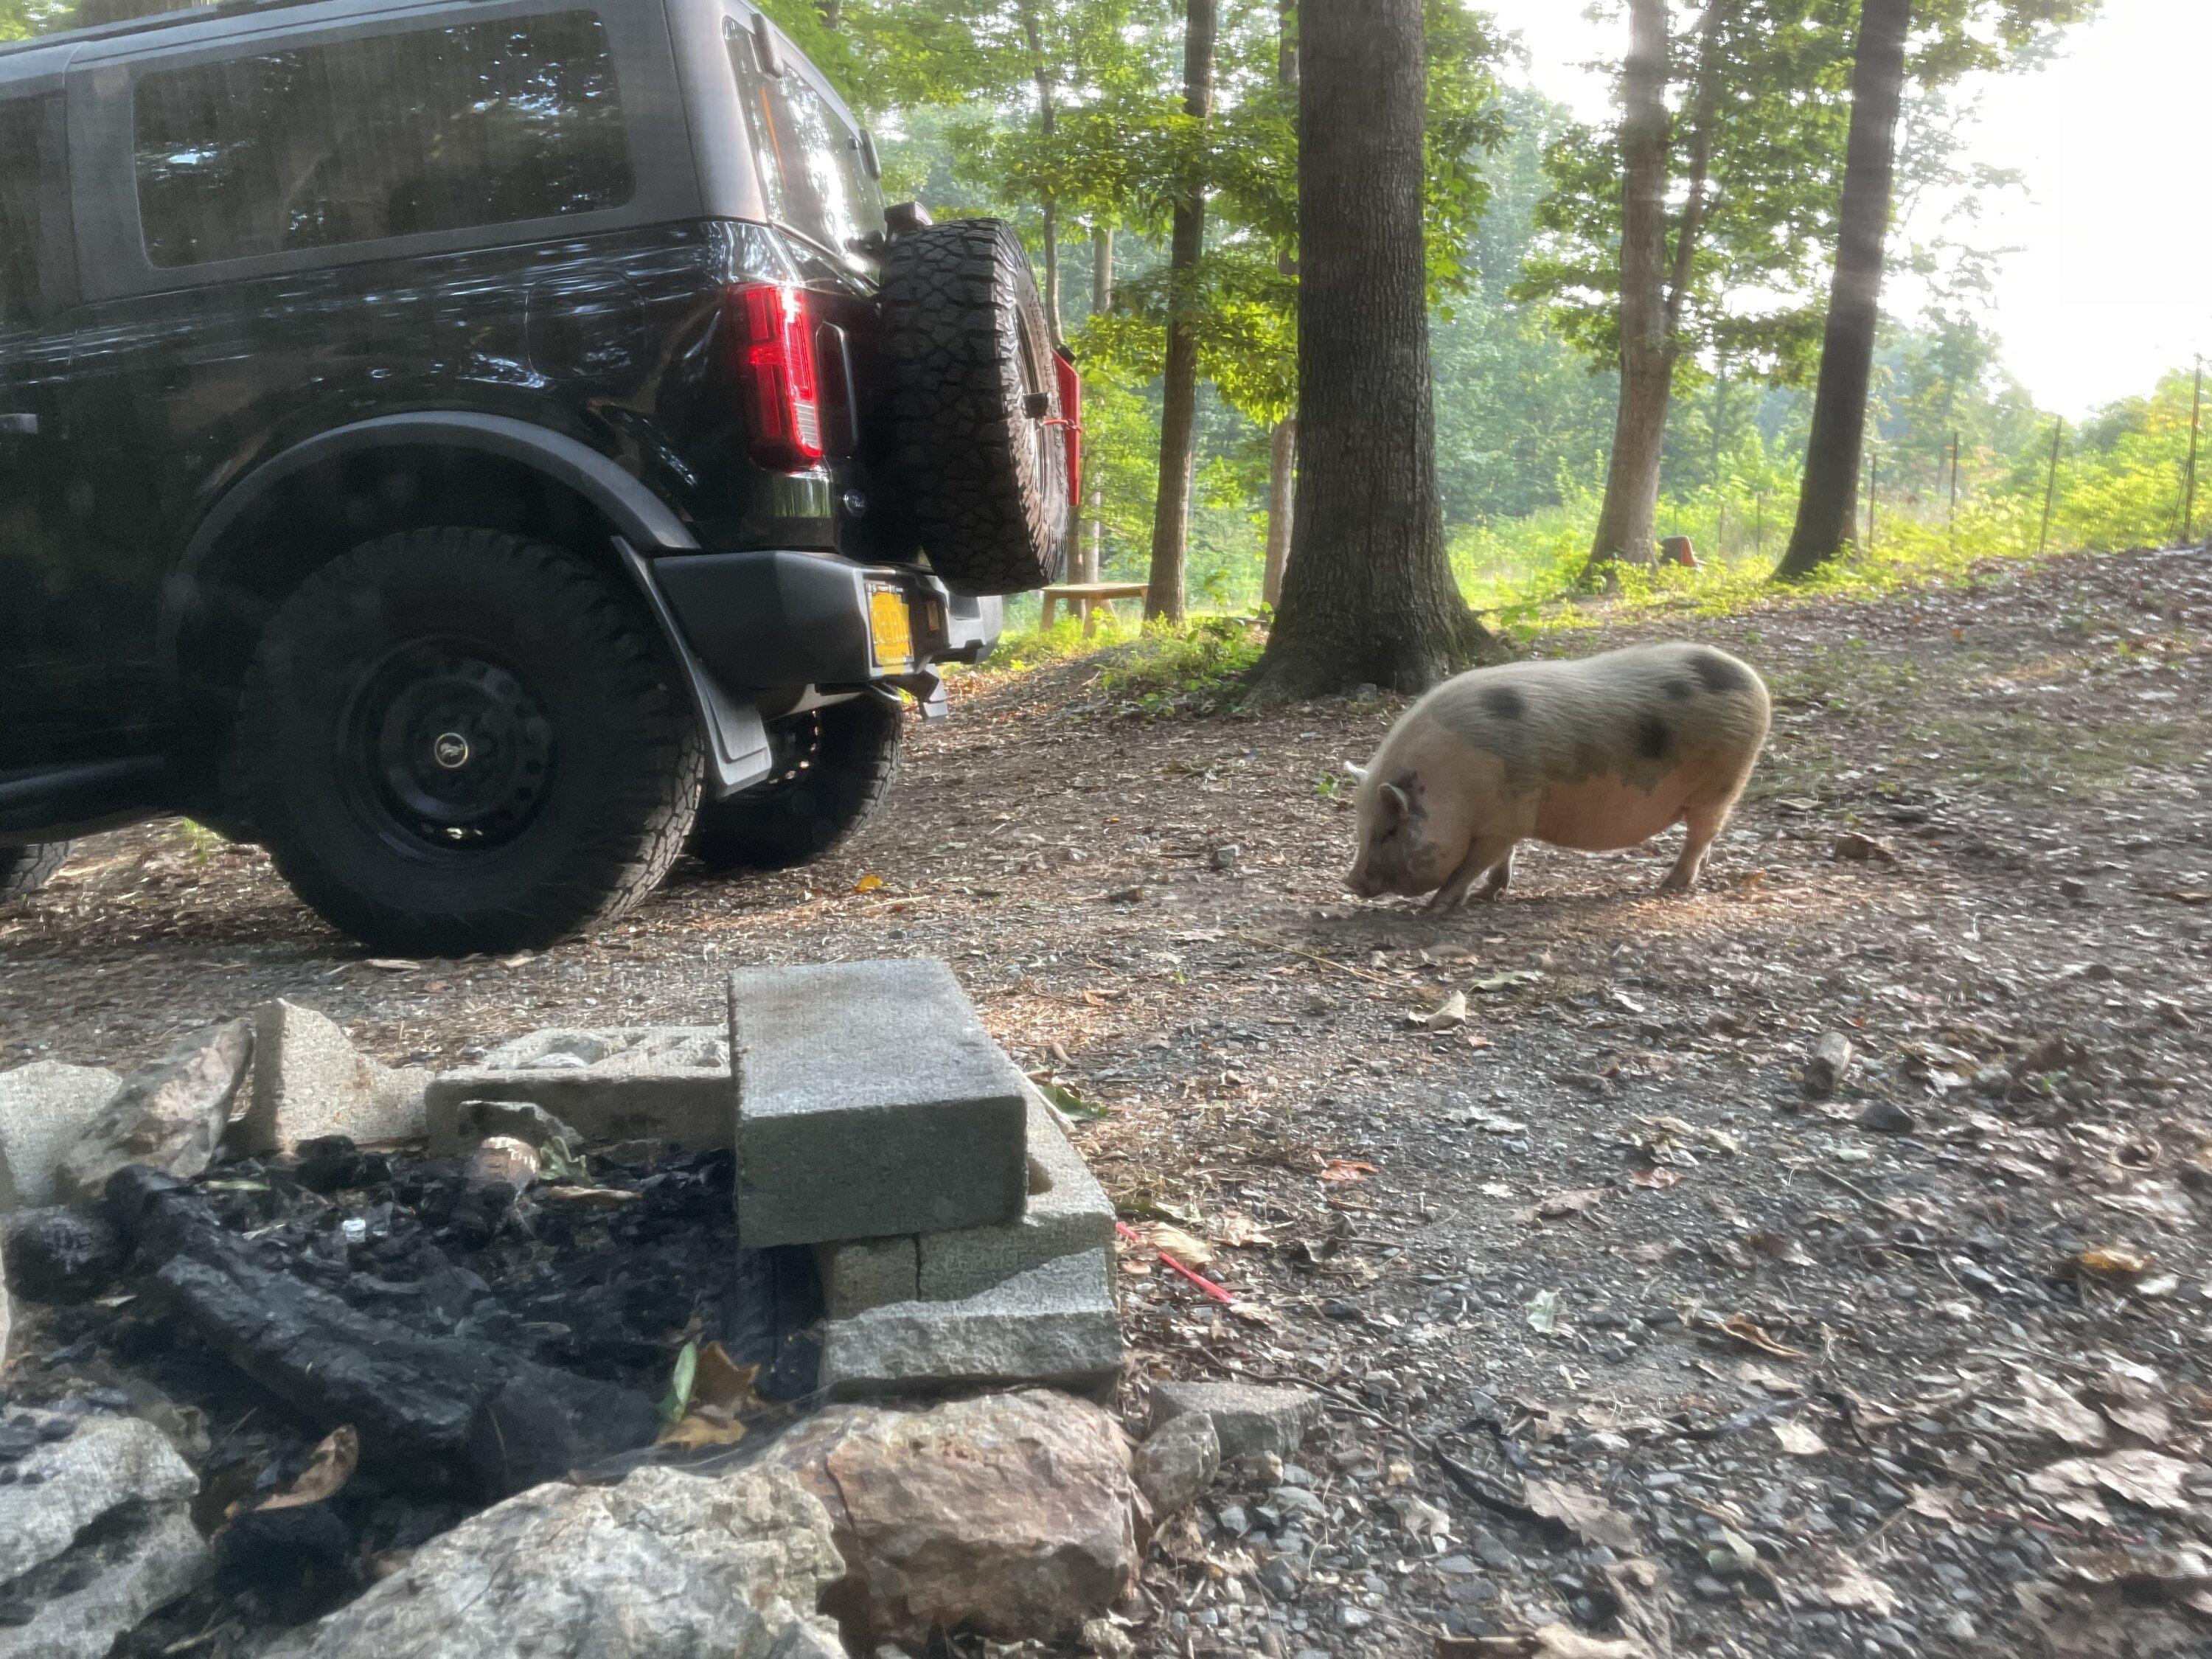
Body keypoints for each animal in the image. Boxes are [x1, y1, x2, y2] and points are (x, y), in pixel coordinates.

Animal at [1346, 642, 1770, 907]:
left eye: (1389, 831)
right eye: (1362, 827)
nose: (1349, 882)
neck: (1451, 787)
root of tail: (1754, 679)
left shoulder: (1505, 818)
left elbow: (1473, 865)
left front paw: (1435, 907)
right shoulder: (1511, 818)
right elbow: (1503, 859)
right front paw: (1488, 896)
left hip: (1723, 783)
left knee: (1701, 834)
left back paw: (1669, 886)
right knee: (1708, 838)